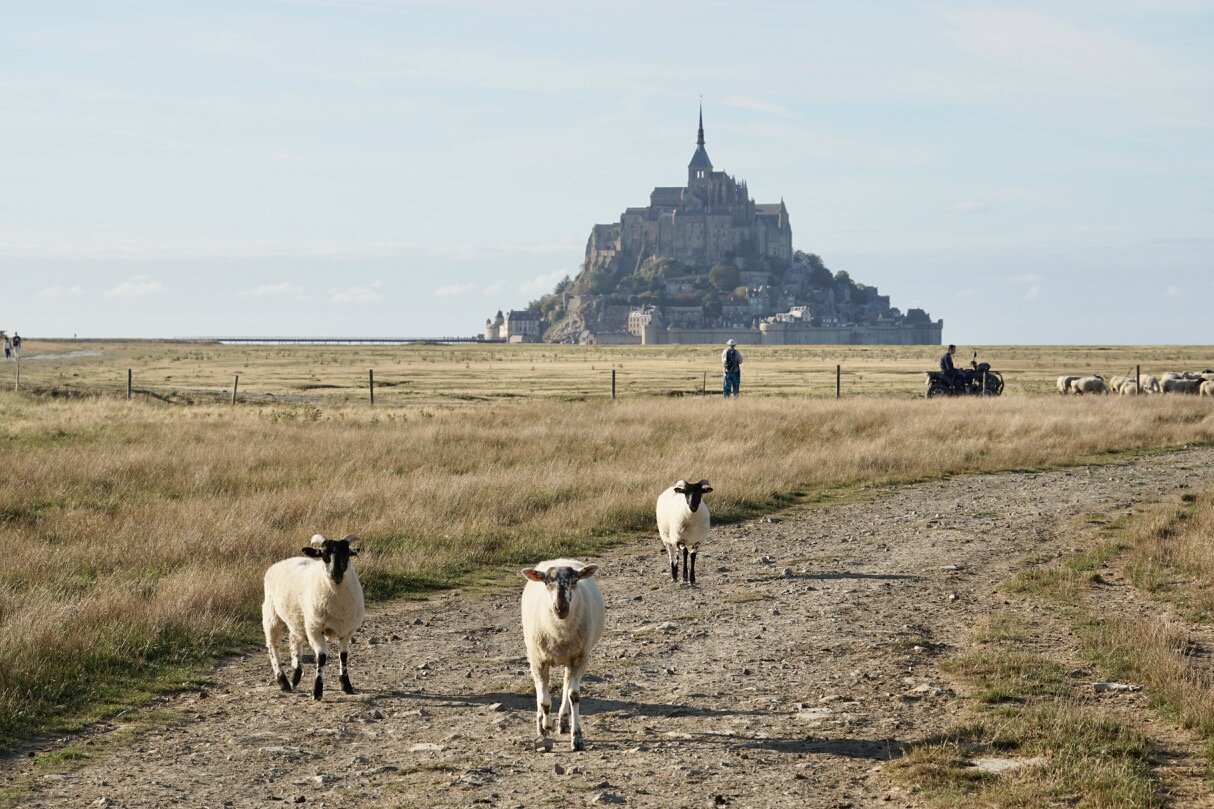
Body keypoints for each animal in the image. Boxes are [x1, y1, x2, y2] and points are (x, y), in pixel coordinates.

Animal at [263, 532, 361, 694]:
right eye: (323, 554)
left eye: (347, 554)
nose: (336, 574)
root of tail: (282, 562)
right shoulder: (315, 629)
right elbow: (321, 658)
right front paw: (317, 690)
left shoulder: (347, 631)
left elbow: (343, 657)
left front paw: (346, 685)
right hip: (272, 616)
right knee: (273, 646)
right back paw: (283, 681)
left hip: (298, 619)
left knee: (294, 639)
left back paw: (295, 676)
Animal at [519, 558, 604, 748]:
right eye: (546, 582)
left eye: (574, 581)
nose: (561, 608)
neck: (559, 633)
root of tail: (560, 560)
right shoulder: (538, 661)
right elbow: (544, 700)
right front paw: (546, 726)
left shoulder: (579, 658)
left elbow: (574, 695)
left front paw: (577, 738)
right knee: (540, 690)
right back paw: (542, 724)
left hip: (571, 658)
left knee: (566, 685)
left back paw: (564, 720)